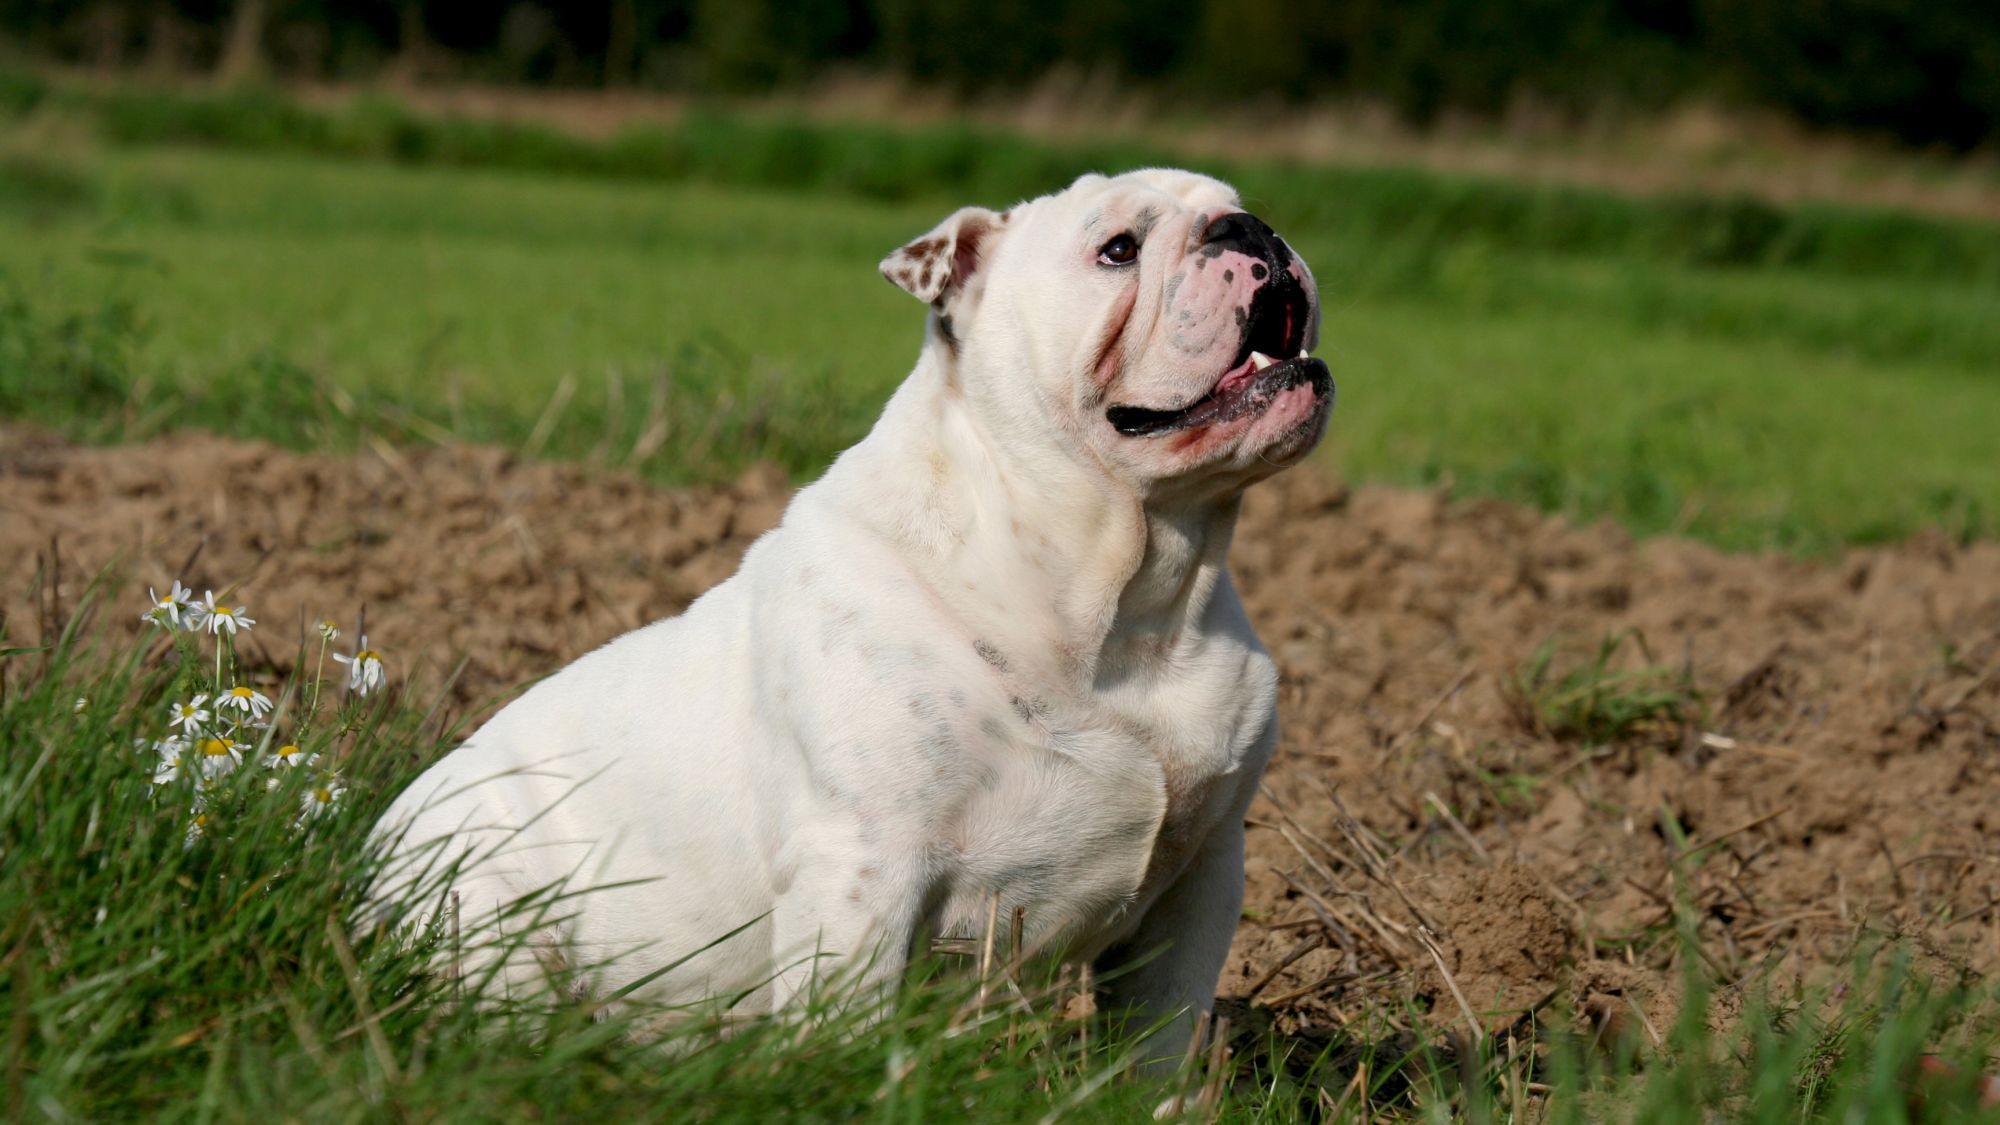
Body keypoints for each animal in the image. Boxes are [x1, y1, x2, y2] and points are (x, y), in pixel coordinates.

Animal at [372, 166, 1344, 1056]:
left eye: (1240, 205)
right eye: (1118, 250)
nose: (1248, 230)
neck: (1128, 604)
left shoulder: (1203, 881)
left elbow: (1159, 1043)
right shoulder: (865, 868)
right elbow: (848, 1025)